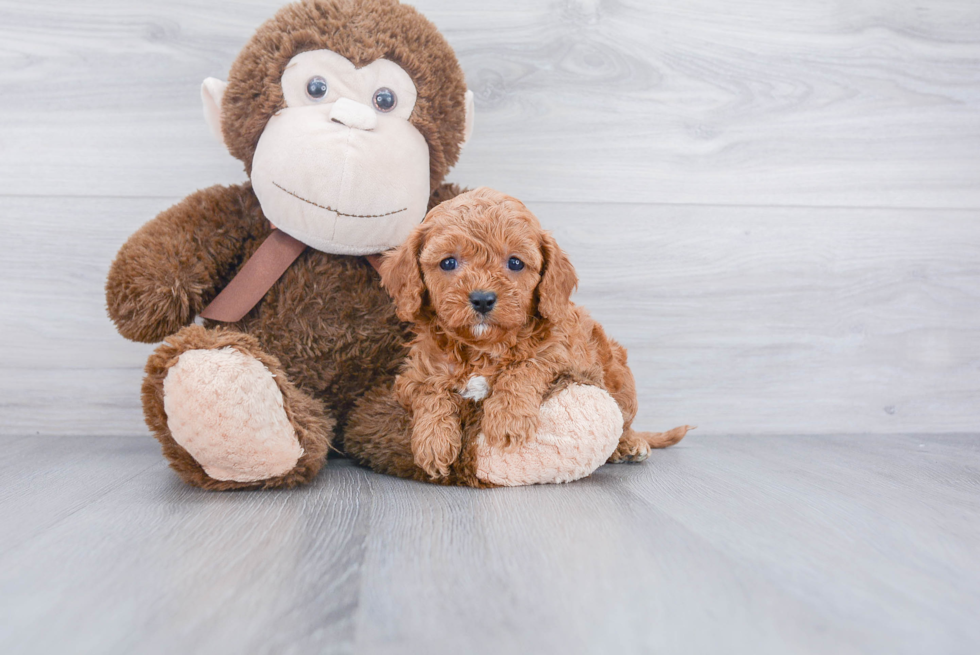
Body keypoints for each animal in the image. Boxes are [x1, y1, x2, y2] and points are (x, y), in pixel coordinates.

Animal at [378, 187, 688, 480]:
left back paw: (629, 445)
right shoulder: (412, 376)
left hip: (619, 376)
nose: (482, 299)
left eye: (515, 263)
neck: (484, 347)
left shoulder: (565, 356)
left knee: (623, 421)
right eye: (448, 263)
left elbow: (525, 367)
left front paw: (507, 421)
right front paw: (433, 442)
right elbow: (430, 390)